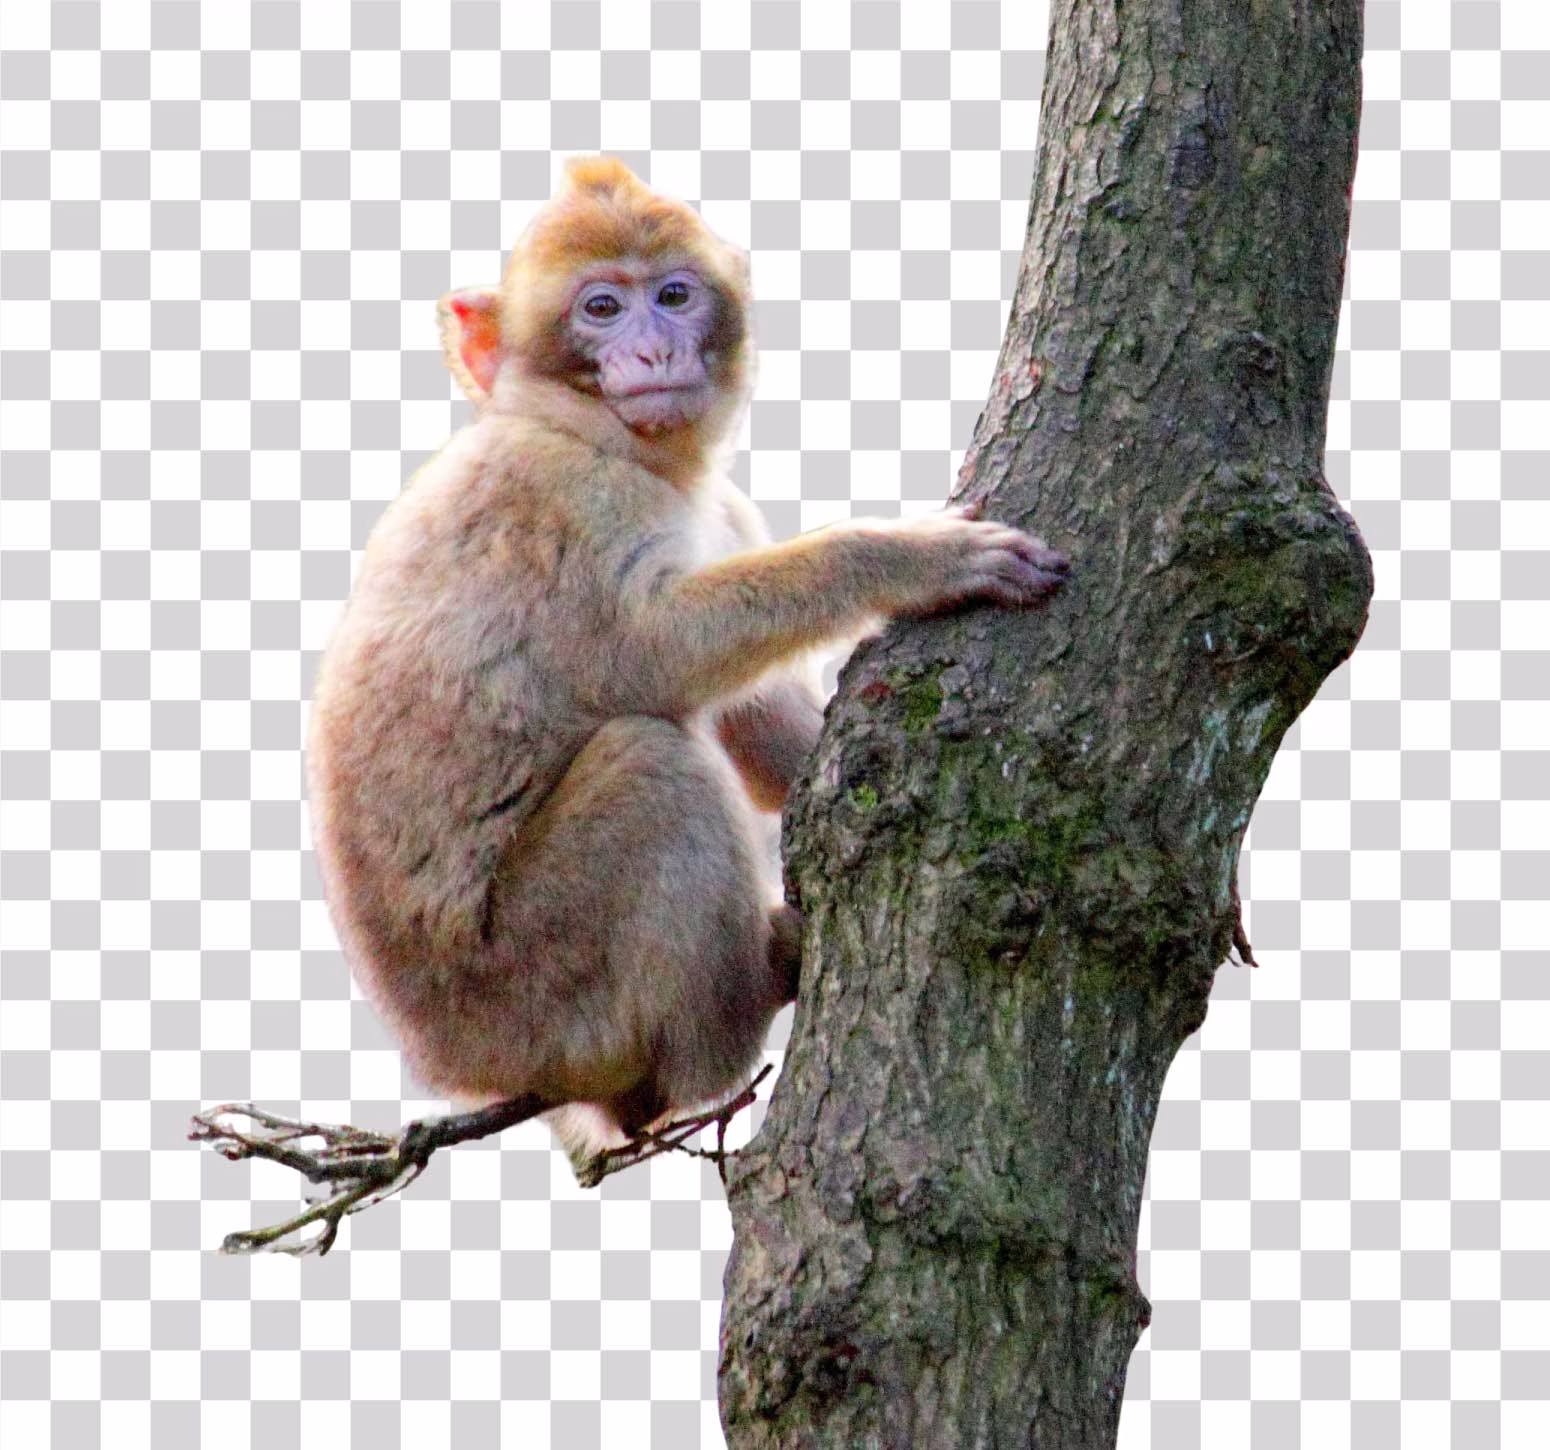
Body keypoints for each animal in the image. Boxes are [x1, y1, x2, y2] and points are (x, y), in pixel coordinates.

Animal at [306, 157, 1069, 1173]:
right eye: (600, 308)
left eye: (673, 295)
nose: (653, 350)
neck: (603, 441)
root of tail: (457, 1064)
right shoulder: (563, 501)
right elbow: (648, 659)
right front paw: (909, 558)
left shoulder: (722, 508)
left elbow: (751, 712)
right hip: (535, 987)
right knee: (652, 760)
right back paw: (740, 1010)